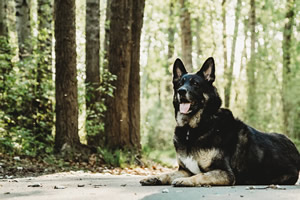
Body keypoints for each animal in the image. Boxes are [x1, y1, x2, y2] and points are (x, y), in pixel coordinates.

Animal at [141, 57, 300, 187]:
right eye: (180, 83)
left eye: (195, 84)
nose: (181, 91)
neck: (193, 128)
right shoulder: (184, 170)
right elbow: (168, 173)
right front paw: (154, 177)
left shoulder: (225, 173)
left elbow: (201, 175)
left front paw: (185, 181)